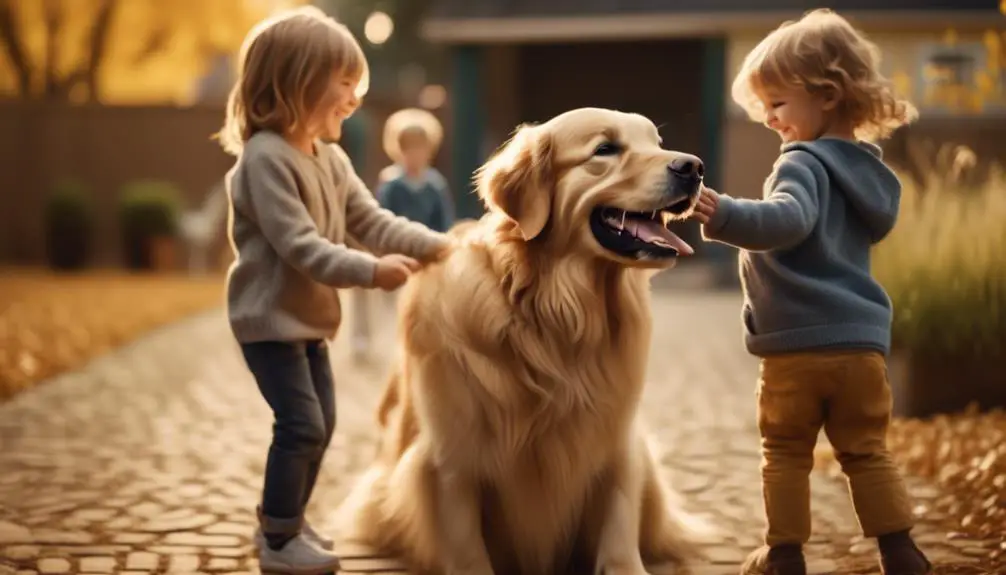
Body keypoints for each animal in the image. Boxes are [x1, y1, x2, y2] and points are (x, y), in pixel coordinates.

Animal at [338, 109, 708, 575]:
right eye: (605, 149)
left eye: (657, 143)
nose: (693, 168)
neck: (554, 311)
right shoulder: (450, 460)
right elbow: (467, 550)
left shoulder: (617, 442)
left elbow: (620, 529)